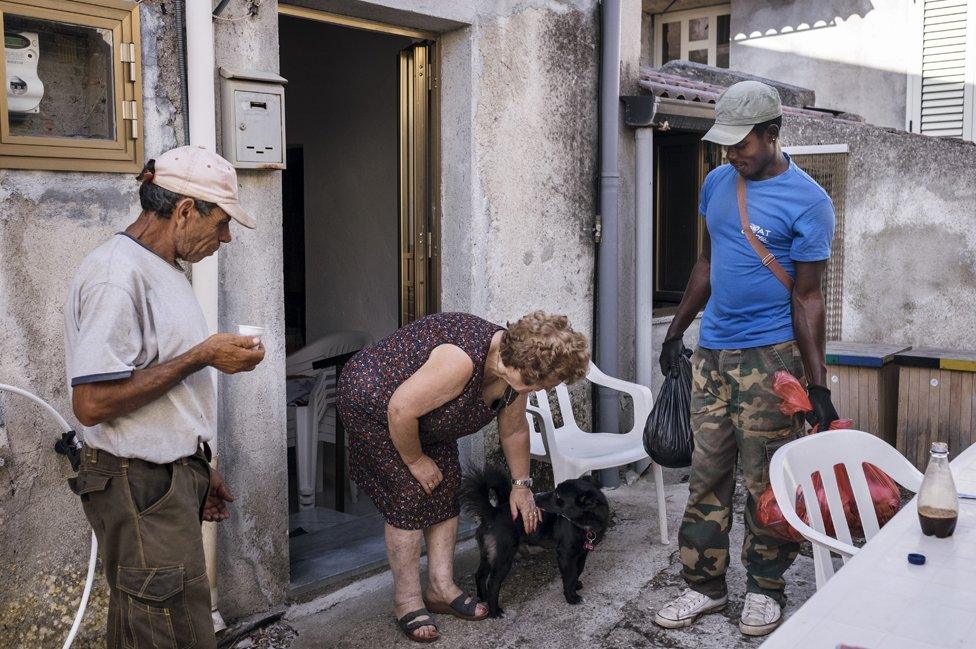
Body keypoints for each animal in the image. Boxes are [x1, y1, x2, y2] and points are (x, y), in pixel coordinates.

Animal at [460, 464, 608, 616]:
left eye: (557, 495)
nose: (535, 497)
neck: (585, 523)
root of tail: (492, 513)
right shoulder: (566, 554)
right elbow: (570, 575)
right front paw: (572, 597)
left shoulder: (582, 553)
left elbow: (578, 570)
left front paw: (576, 586)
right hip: (504, 556)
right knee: (493, 582)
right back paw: (495, 611)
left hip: (489, 553)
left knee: (480, 575)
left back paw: (482, 598)